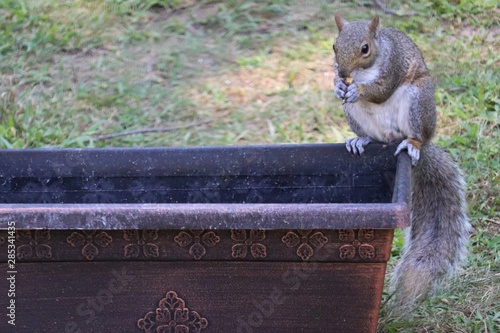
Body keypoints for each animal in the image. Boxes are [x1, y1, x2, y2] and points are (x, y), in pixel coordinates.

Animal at [334, 12, 470, 314]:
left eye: (365, 49)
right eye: (334, 46)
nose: (342, 73)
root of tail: (392, 139)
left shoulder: (393, 66)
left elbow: (380, 90)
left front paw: (358, 90)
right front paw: (337, 87)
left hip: (417, 100)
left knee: (415, 134)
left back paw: (412, 144)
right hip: (357, 118)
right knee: (372, 137)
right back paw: (360, 140)